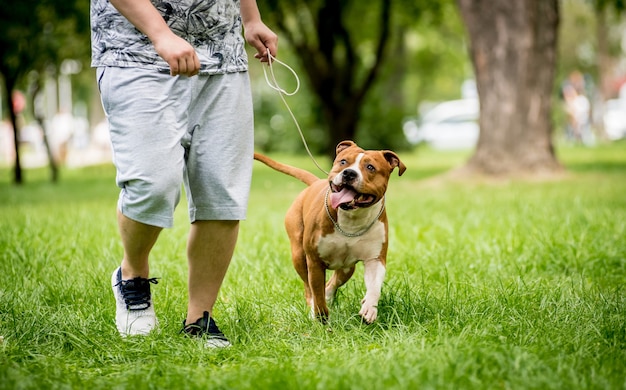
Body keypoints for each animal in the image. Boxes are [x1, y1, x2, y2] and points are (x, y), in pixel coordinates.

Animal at [254, 140, 404, 322]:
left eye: (370, 167)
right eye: (343, 161)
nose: (349, 173)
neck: (351, 221)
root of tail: (314, 183)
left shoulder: (375, 259)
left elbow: (374, 286)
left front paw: (369, 308)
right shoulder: (314, 261)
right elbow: (316, 292)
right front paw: (320, 317)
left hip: (347, 268)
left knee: (332, 283)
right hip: (299, 255)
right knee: (308, 288)